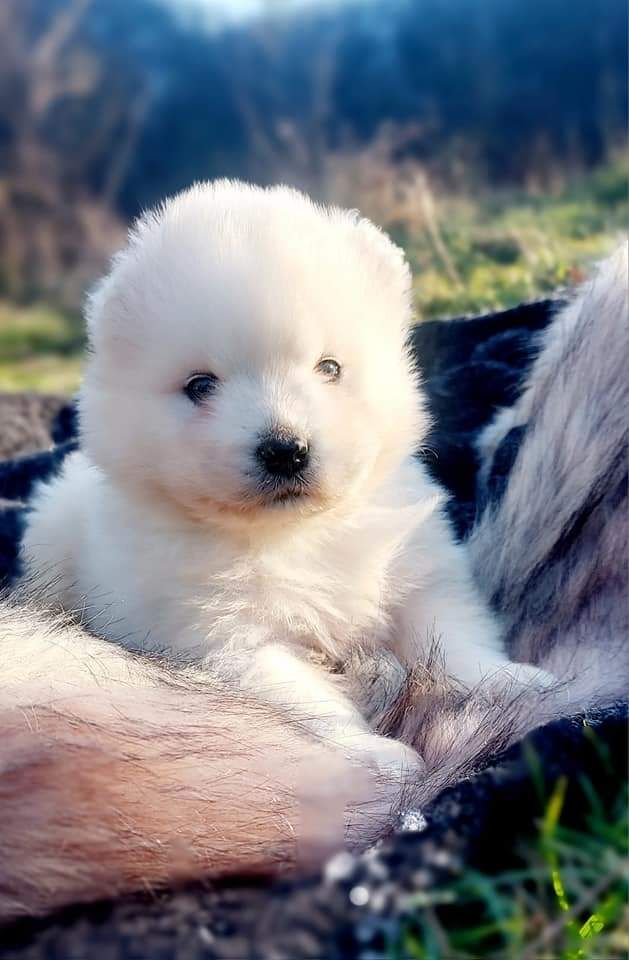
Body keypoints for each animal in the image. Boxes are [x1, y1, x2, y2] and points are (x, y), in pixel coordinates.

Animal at [20, 181, 550, 779]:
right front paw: (377, 752)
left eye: (330, 367)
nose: (285, 450)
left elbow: (453, 633)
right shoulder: (228, 637)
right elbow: (305, 698)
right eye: (200, 385)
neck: (295, 534)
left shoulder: (416, 572)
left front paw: (511, 679)